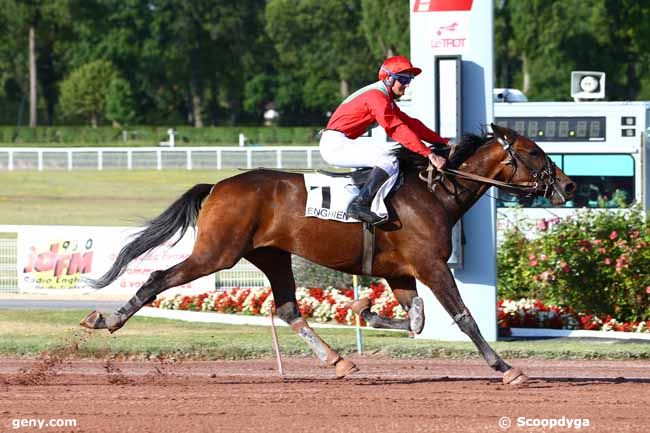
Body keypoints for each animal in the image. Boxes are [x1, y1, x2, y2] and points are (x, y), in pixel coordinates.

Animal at [79, 123, 572, 384]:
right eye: (533, 151)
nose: (567, 184)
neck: (435, 192)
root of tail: (219, 185)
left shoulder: (402, 271)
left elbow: (415, 319)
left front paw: (362, 307)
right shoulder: (431, 265)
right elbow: (462, 317)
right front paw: (506, 367)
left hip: (272, 255)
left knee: (287, 307)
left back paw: (338, 359)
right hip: (217, 253)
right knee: (158, 278)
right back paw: (107, 319)